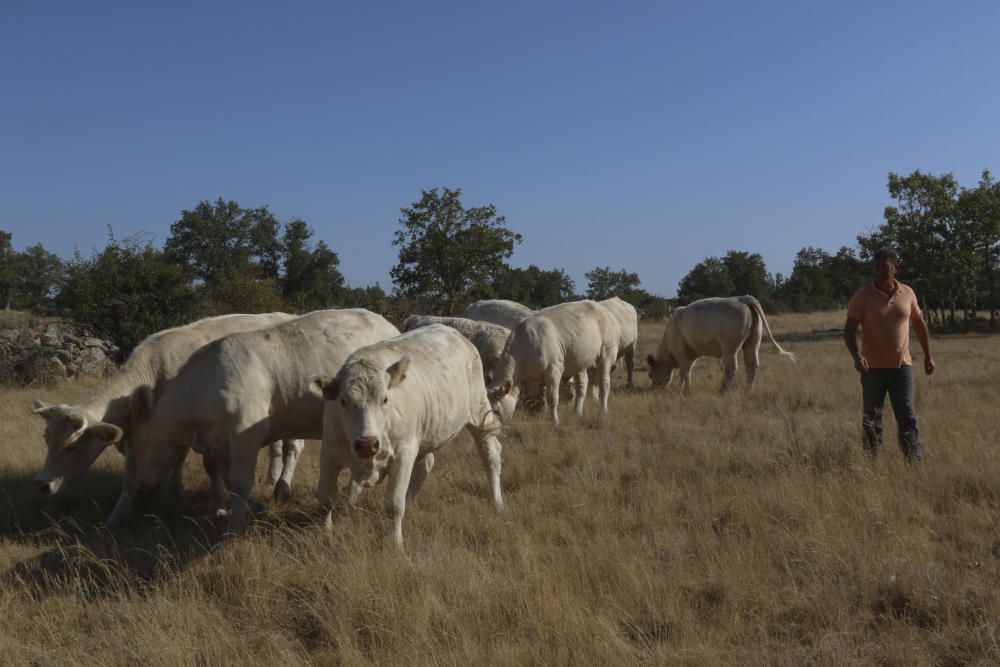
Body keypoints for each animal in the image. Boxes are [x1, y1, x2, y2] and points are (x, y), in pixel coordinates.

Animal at [31, 316, 304, 504]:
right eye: (46, 440)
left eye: (71, 446)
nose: (42, 485)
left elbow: (198, 462)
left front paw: (182, 492)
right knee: (276, 445)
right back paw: (271, 478)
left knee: (293, 446)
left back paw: (282, 488)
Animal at [126, 308, 402, 532]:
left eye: (137, 446)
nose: (140, 488)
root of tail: (389, 325)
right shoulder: (219, 442)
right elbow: (227, 478)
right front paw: (241, 509)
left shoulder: (245, 435)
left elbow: (240, 483)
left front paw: (235, 526)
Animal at [310, 324, 504, 548]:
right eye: (343, 401)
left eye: (385, 399)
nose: (367, 443)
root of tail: (452, 331)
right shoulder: (329, 451)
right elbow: (326, 498)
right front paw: (325, 534)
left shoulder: (403, 453)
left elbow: (394, 503)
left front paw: (396, 543)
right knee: (426, 464)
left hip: (479, 412)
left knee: (491, 454)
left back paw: (497, 502)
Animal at [486, 300, 616, 426]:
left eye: (496, 411)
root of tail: (600, 307)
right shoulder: (533, 380)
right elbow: (537, 401)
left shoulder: (554, 370)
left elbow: (552, 399)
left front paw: (555, 422)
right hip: (579, 360)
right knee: (582, 385)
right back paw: (577, 412)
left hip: (606, 352)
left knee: (604, 383)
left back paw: (603, 411)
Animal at [648, 296, 796, 394]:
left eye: (650, 375)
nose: (654, 389)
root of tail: (742, 299)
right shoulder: (691, 354)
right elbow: (688, 370)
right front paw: (686, 388)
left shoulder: (680, 351)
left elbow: (684, 371)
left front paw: (682, 389)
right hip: (752, 342)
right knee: (752, 365)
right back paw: (748, 391)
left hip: (730, 347)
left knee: (731, 367)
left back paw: (722, 390)